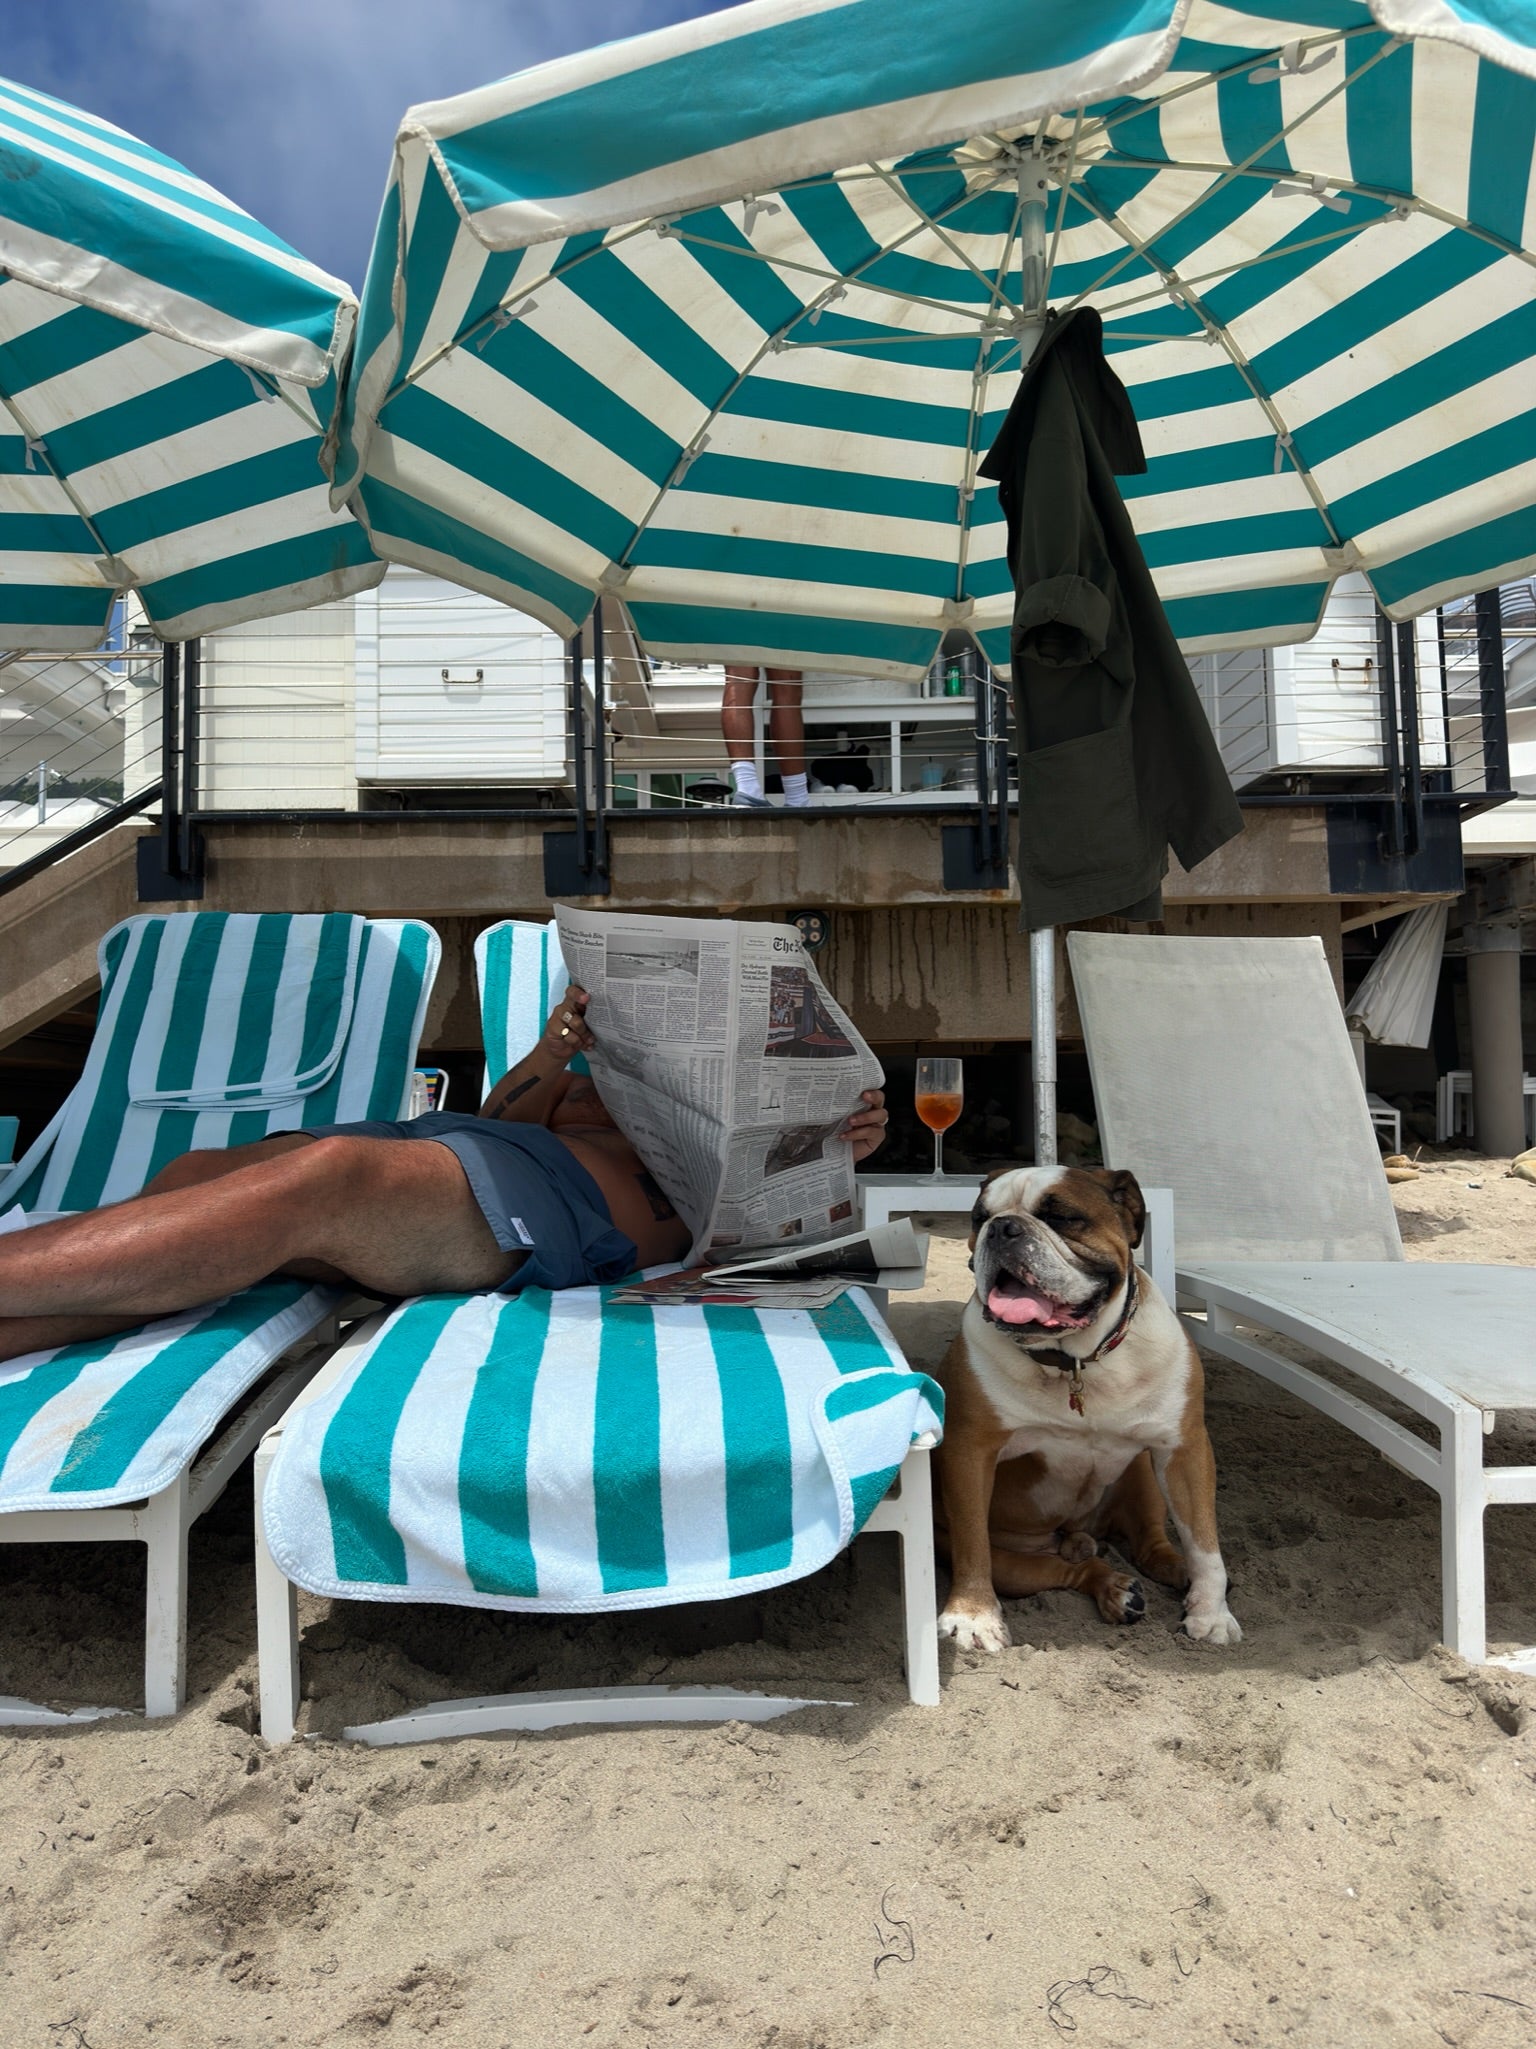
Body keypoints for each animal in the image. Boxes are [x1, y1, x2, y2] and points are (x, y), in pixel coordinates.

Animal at [933, 1164, 1241, 1654]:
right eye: (979, 1218)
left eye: (1062, 1217)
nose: (1002, 1227)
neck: (1075, 1359)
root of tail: (1077, 1532)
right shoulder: (969, 1452)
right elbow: (971, 1541)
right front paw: (973, 1615)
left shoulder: (1184, 1450)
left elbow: (1204, 1542)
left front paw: (1210, 1614)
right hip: (1021, 1564)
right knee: (1076, 1570)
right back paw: (1116, 1590)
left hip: (1143, 1471)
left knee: (1151, 1546)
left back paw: (1178, 1575)